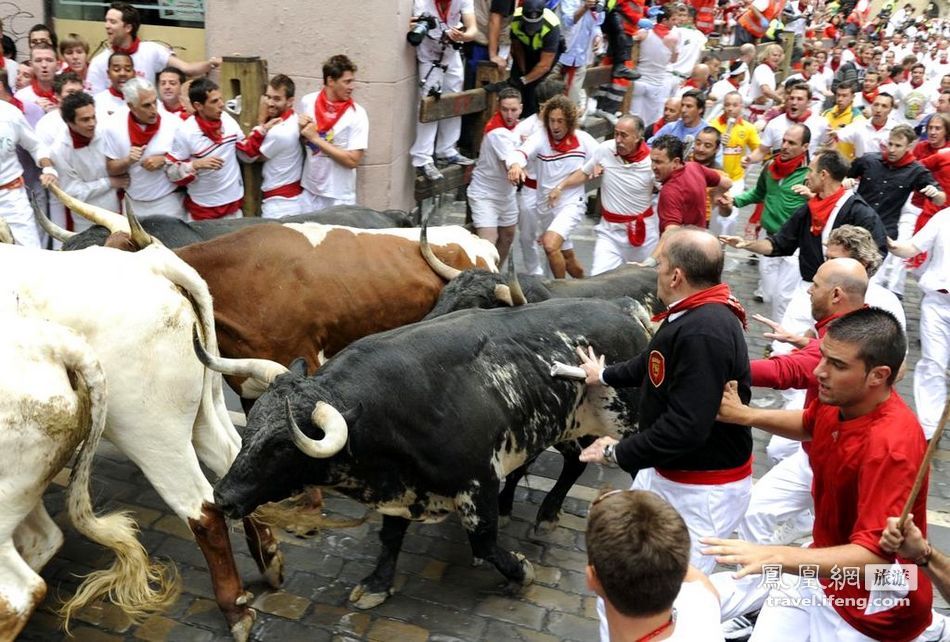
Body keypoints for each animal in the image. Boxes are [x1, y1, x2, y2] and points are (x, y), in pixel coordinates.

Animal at [201, 298, 656, 608]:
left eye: (281, 446)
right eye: (251, 426)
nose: (223, 497)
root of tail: (622, 307)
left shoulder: (475, 482)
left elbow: (484, 542)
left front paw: (520, 572)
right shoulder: (403, 491)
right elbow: (390, 537)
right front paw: (377, 584)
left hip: (630, 420)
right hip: (560, 425)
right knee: (570, 461)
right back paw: (535, 511)